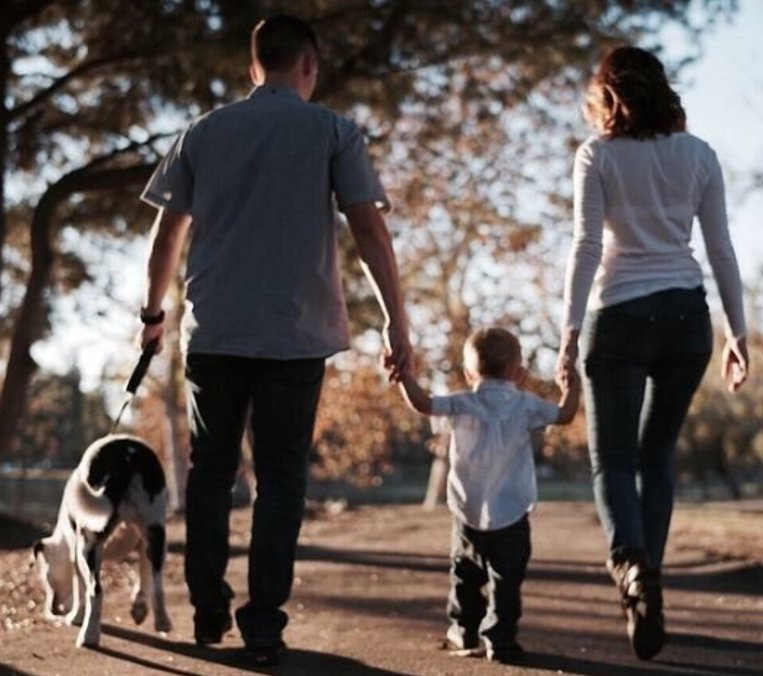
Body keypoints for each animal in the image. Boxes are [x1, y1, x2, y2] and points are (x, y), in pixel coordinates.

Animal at [33, 434, 172, 647]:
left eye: (46, 578)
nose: (53, 610)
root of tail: (126, 457)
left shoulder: (76, 555)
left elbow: (80, 588)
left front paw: (76, 616)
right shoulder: (144, 545)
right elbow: (145, 575)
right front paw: (139, 607)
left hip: (88, 544)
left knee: (96, 591)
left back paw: (89, 635)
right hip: (155, 530)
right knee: (158, 582)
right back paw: (162, 621)